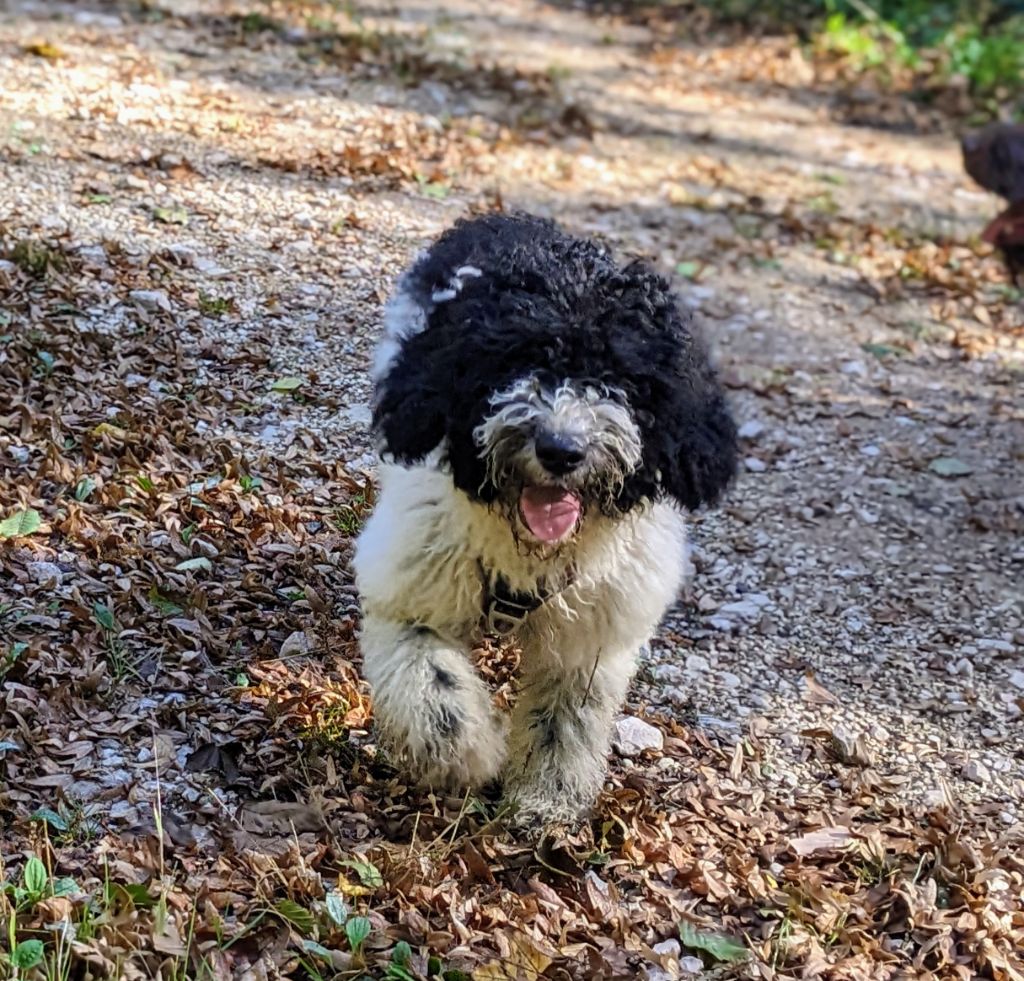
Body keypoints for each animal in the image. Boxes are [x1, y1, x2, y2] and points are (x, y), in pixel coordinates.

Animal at [352, 213, 737, 828]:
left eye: (619, 376)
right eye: (516, 359)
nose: (560, 449)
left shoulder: (594, 634)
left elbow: (568, 718)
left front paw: (546, 799)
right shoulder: (409, 593)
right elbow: (432, 685)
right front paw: (470, 755)